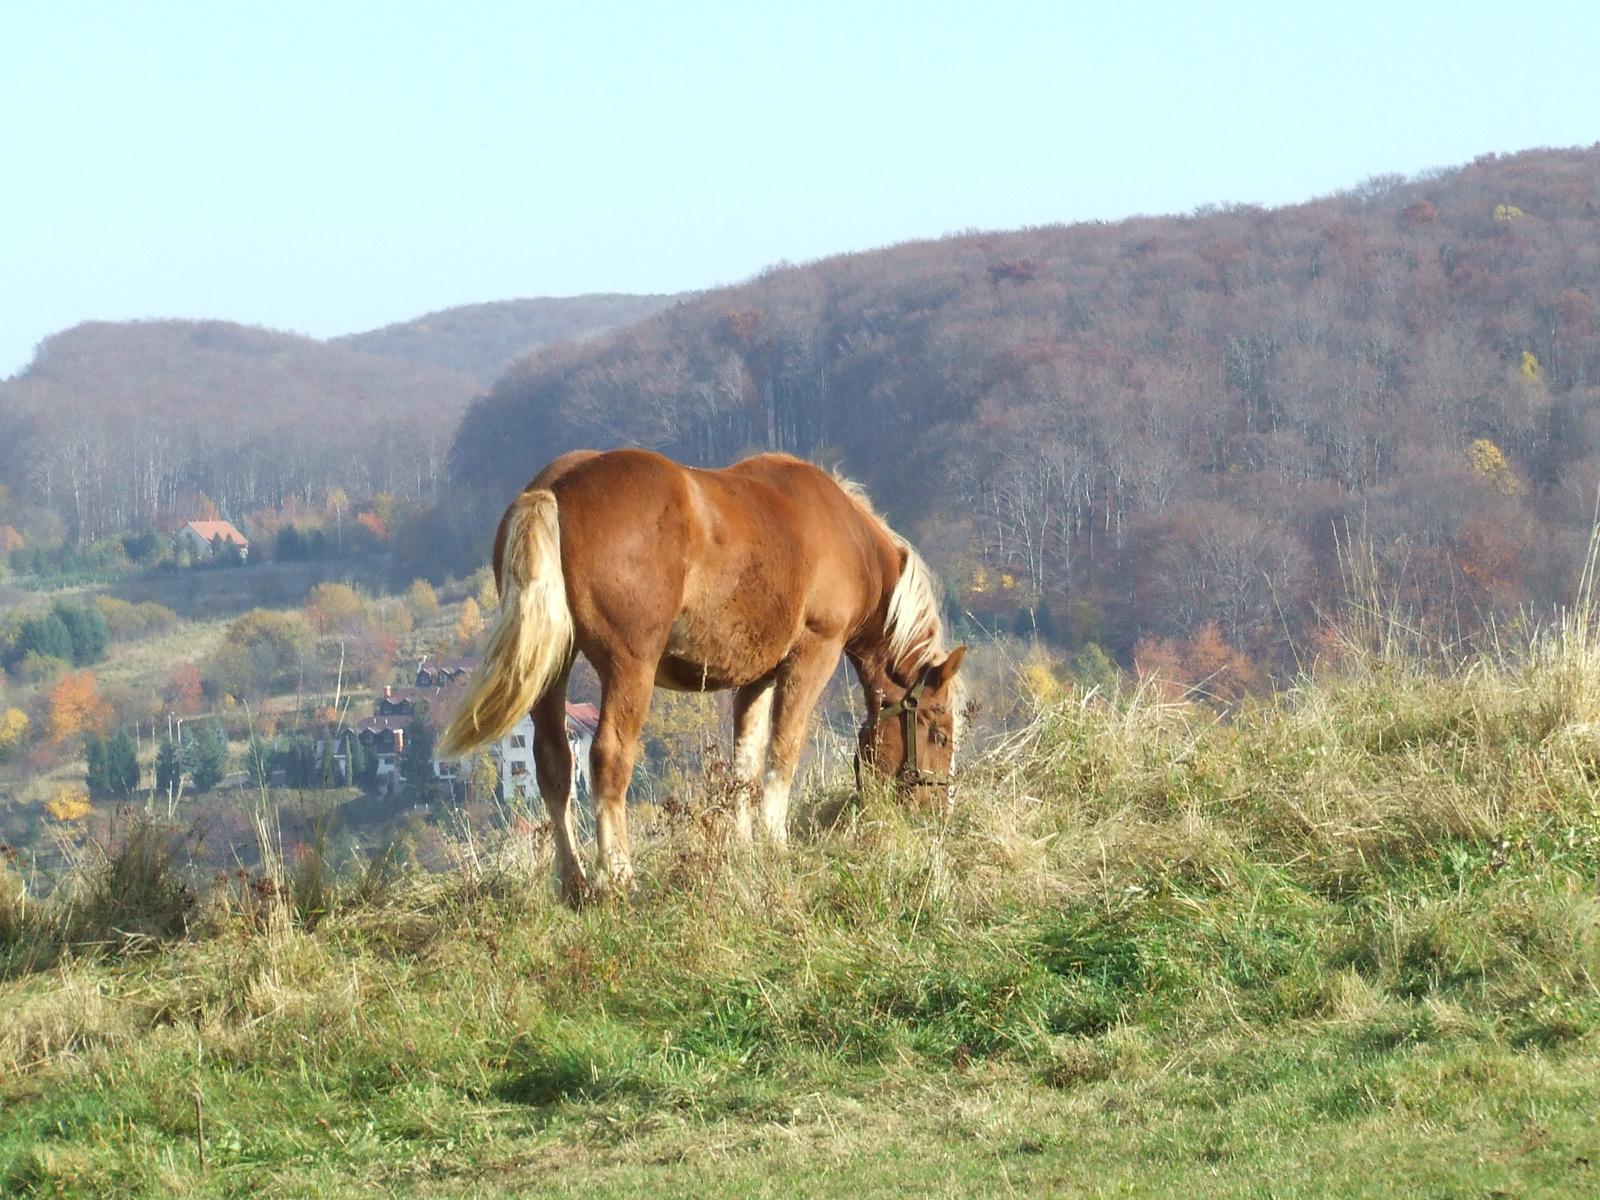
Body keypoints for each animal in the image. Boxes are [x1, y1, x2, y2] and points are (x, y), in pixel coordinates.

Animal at [435, 451, 960, 902]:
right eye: (937, 732)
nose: (936, 811)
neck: (847, 536)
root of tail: (555, 489)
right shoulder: (813, 654)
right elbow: (784, 750)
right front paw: (775, 840)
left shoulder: (757, 675)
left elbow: (745, 763)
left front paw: (744, 845)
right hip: (631, 668)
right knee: (608, 758)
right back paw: (618, 875)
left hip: (552, 669)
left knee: (554, 764)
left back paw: (574, 882)